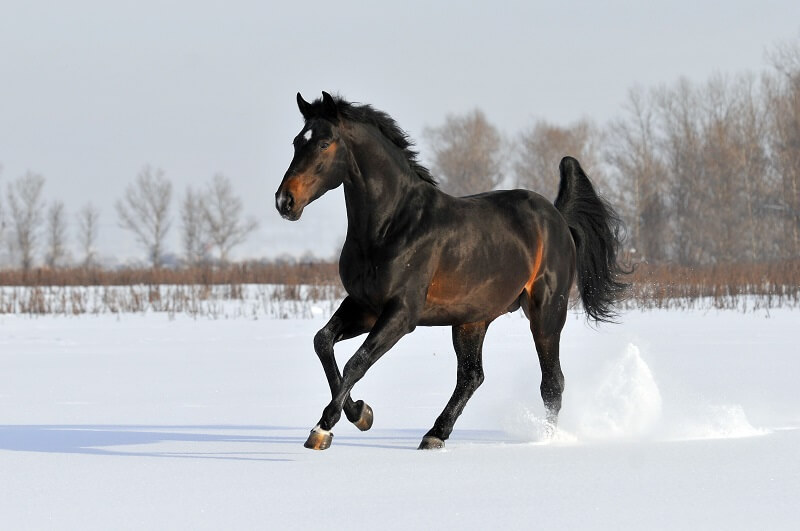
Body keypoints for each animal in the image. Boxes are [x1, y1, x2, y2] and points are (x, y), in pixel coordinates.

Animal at [278, 91, 628, 448]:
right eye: (297, 141)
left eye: (324, 143)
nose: (285, 201)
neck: (391, 226)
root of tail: (557, 217)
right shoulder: (364, 306)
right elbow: (323, 343)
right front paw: (361, 413)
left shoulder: (401, 314)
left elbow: (356, 362)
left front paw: (324, 428)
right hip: (471, 320)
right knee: (472, 376)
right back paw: (435, 434)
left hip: (546, 312)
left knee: (552, 382)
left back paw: (544, 440)